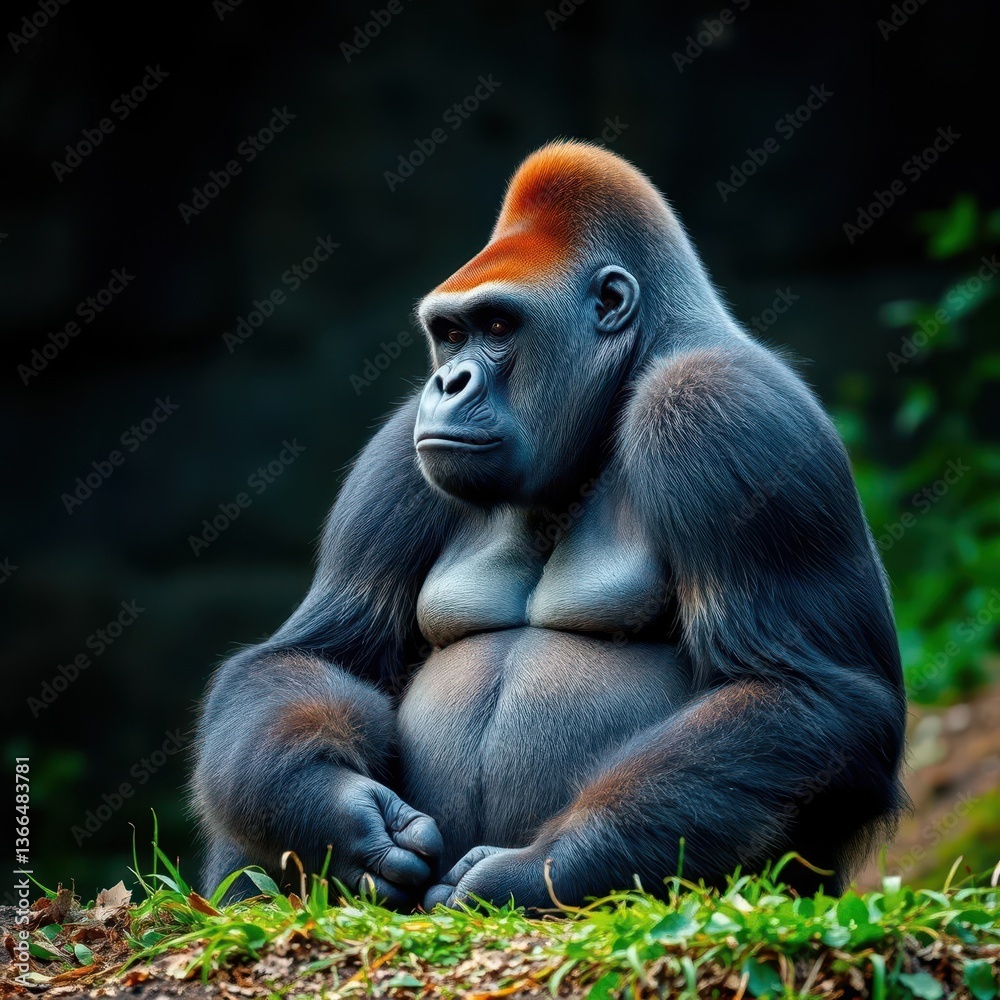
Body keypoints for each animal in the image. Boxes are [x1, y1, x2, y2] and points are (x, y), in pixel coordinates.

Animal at [192, 140, 906, 910]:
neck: (637, 363)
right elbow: (315, 658)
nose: (449, 383)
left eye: (501, 327)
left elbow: (803, 692)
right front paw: (339, 816)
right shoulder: (397, 455)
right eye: (451, 334)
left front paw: (537, 869)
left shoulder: (724, 409)